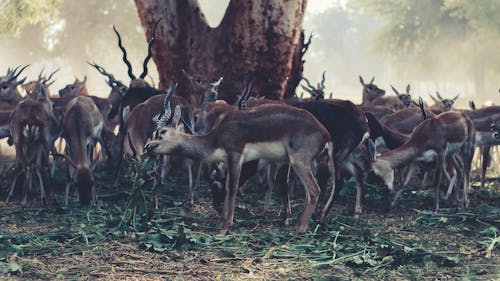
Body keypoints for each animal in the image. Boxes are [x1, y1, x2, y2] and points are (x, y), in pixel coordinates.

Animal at [146, 95, 330, 233]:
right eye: (153, 132)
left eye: (162, 132)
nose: (148, 148)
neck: (216, 138)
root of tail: (324, 133)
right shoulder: (228, 160)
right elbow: (228, 188)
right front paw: (221, 222)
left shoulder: (236, 156)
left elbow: (233, 188)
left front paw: (226, 226)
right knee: (308, 192)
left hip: (298, 161)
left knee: (314, 190)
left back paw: (300, 228)